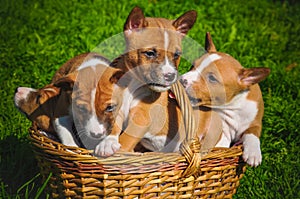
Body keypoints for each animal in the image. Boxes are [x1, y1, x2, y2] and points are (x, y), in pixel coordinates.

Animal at [96, 5, 198, 155]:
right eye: (150, 53)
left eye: (176, 55)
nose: (170, 76)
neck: (132, 85)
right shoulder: (118, 109)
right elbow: (114, 127)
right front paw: (107, 143)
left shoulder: (142, 117)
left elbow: (125, 139)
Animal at [179, 32, 270, 166]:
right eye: (192, 66)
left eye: (212, 78)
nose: (181, 80)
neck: (234, 105)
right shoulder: (222, 131)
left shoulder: (255, 121)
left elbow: (252, 134)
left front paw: (253, 153)